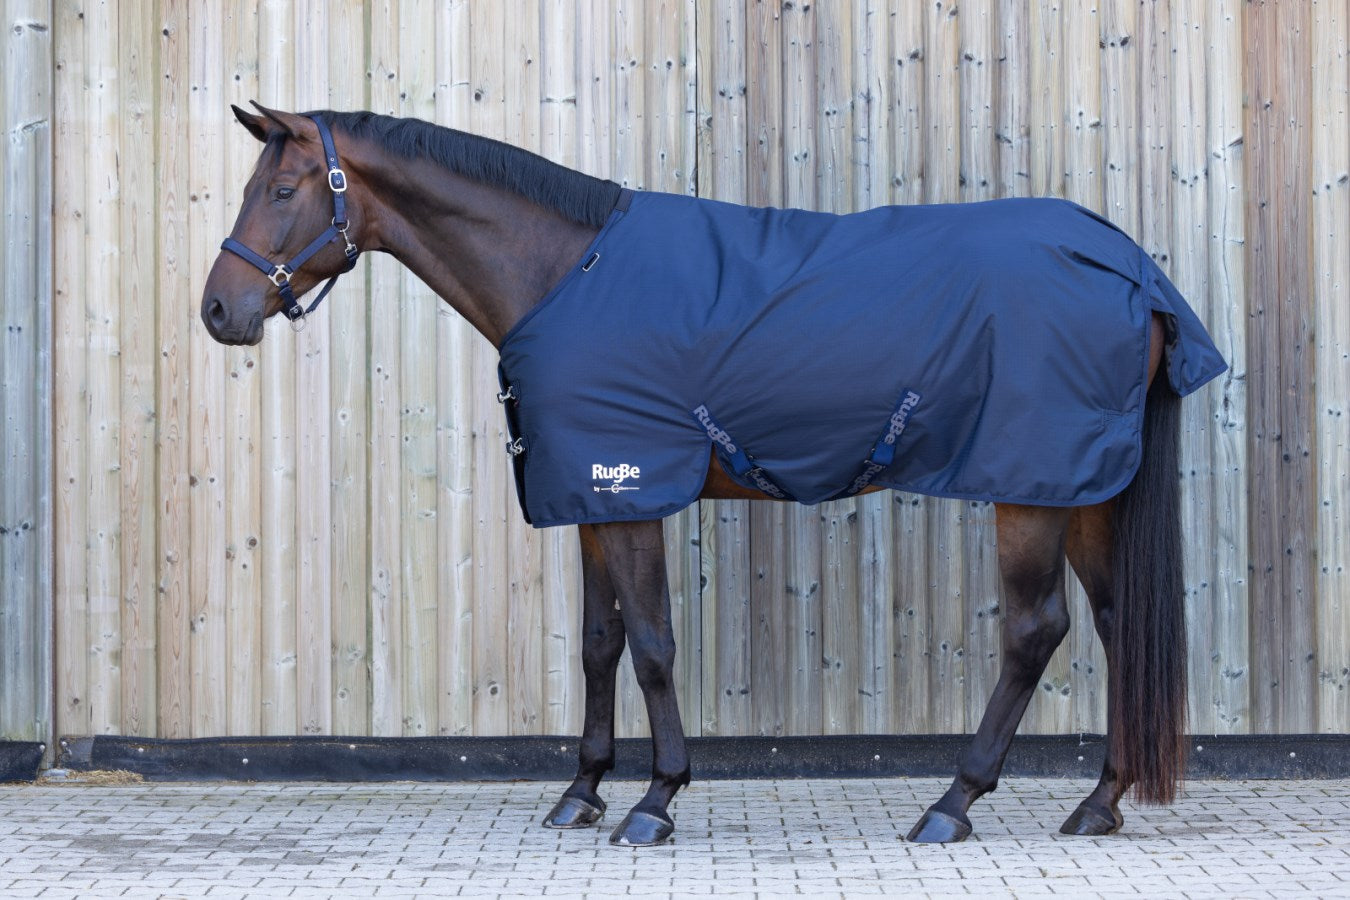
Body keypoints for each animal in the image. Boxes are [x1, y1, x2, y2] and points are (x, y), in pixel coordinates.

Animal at [202, 103, 1225, 847]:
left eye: (284, 188)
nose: (219, 310)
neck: (567, 271)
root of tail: (1130, 268)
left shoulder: (629, 490)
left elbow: (653, 645)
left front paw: (655, 800)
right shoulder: (589, 494)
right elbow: (600, 645)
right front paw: (581, 791)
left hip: (1030, 488)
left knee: (1034, 631)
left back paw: (951, 805)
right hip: (1083, 490)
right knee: (1119, 625)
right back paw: (1098, 803)